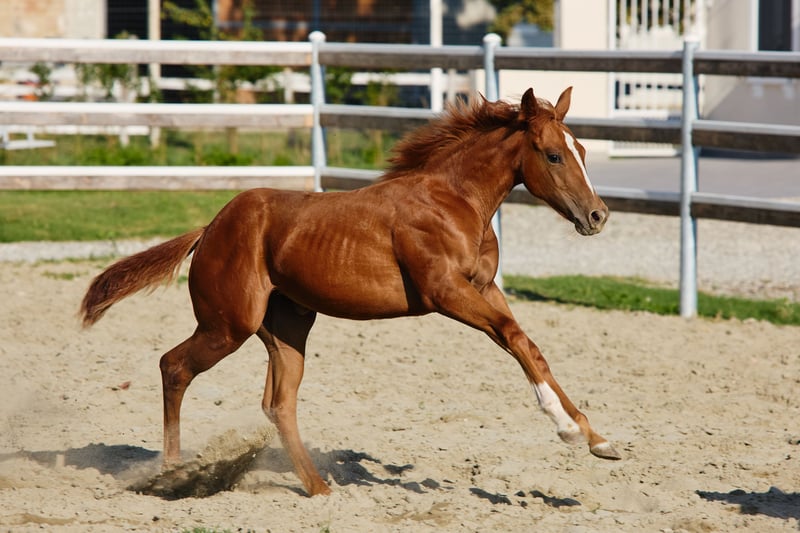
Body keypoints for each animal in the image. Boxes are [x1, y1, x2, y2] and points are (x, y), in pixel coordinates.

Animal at [80, 86, 618, 497]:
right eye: (554, 154)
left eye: (583, 151)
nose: (597, 215)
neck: (455, 200)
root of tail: (209, 229)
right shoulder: (445, 293)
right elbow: (512, 336)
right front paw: (570, 429)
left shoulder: (485, 289)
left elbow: (527, 343)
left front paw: (596, 438)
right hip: (227, 324)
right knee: (174, 367)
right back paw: (172, 475)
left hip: (287, 329)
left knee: (278, 403)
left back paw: (318, 487)